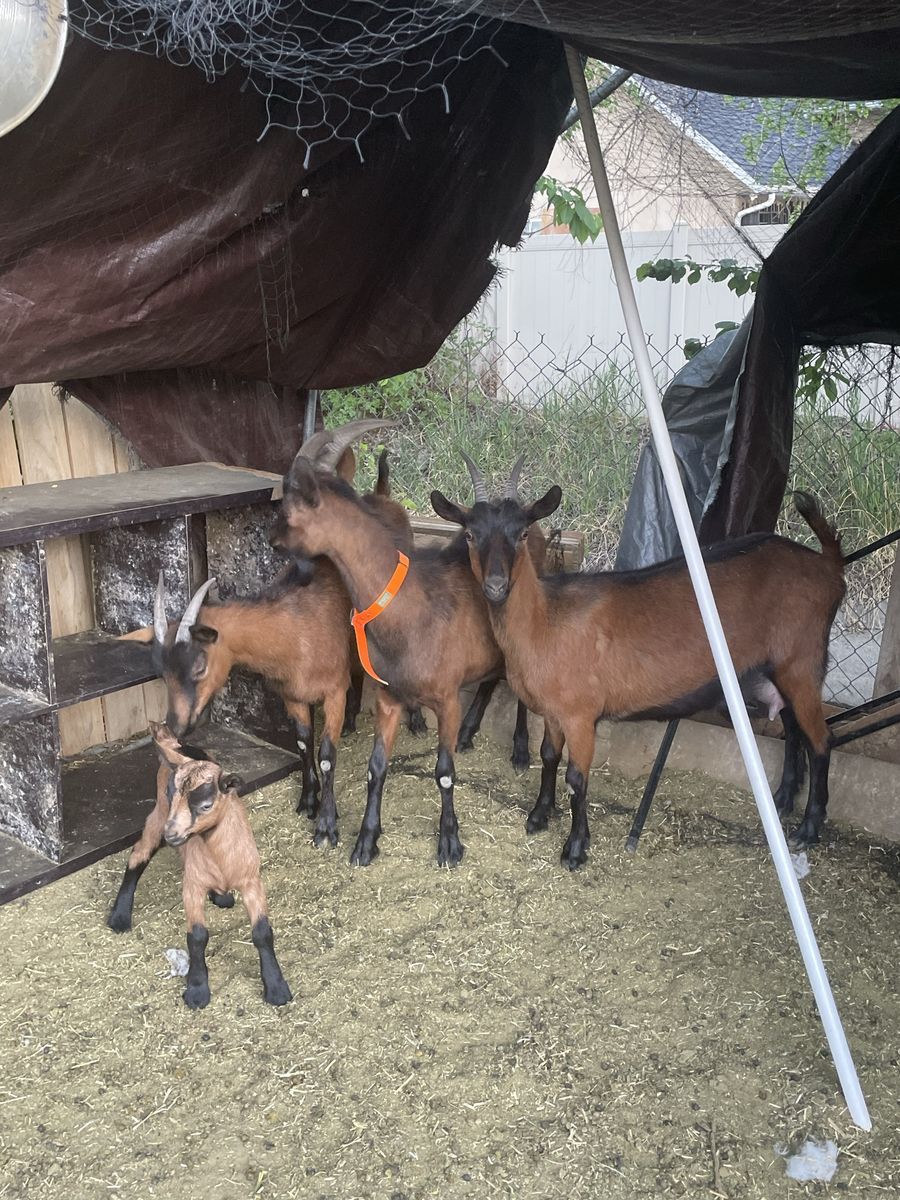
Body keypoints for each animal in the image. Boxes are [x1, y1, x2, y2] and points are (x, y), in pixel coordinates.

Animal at [109, 724, 291, 1008]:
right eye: (171, 795)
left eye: (205, 805)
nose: (171, 835)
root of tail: (176, 745)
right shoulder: (192, 886)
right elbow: (196, 936)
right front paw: (197, 990)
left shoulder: (252, 880)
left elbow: (262, 933)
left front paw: (276, 988)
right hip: (156, 817)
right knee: (139, 854)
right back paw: (119, 916)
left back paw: (221, 896)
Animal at [271, 452, 517, 867]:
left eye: (288, 509)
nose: (273, 541)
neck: (409, 609)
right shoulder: (388, 697)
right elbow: (376, 768)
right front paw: (366, 841)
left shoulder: (447, 699)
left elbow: (444, 772)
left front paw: (449, 842)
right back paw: (470, 733)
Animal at [432, 458, 845, 868]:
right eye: (470, 535)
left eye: (521, 533)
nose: (496, 585)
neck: (546, 621)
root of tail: (828, 566)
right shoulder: (554, 712)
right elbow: (548, 756)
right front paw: (539, 816)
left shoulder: (581, 716)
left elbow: (576, 778)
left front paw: (576, 848)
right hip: (777, 670)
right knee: (794, 728)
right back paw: (783, 800)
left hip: (803, 661)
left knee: (822, 739)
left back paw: (809, 828)